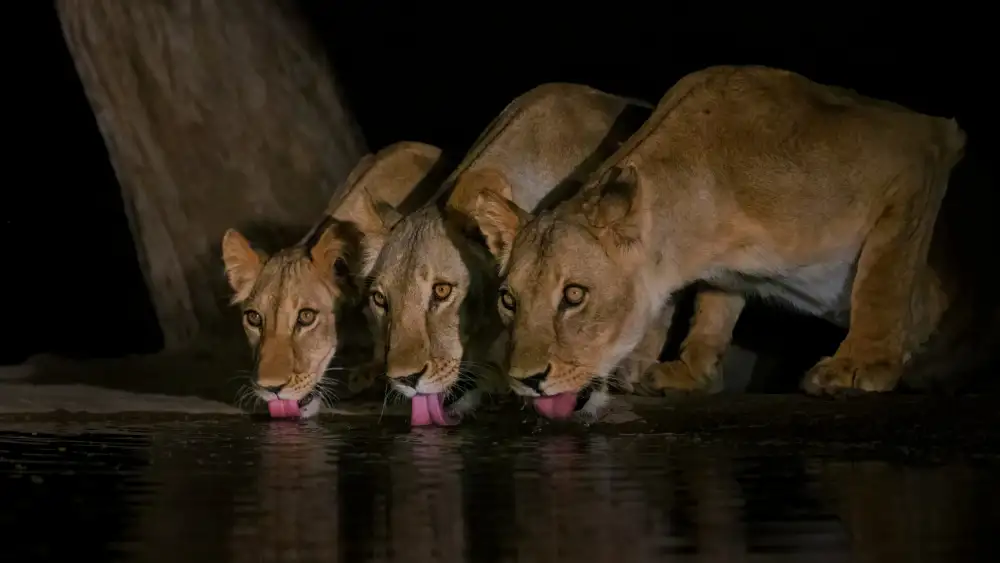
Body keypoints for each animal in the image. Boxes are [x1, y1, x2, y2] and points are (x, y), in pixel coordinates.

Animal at [460, 65, 974, 419]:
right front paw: (691, 372)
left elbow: (884, 278)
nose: (524, 381)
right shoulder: (725, 270)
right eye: (508, 300)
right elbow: (713, 309)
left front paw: (861, 365)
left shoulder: (919, 149)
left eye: (574, 295)